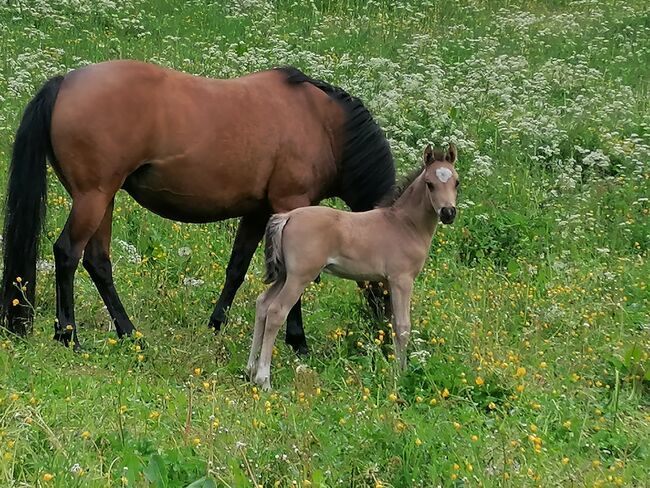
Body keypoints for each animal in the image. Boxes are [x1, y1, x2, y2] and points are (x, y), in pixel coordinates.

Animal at [1, 61, 394, 350]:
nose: (388, 337)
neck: (322, 124)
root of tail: (65, 82)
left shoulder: (258, 212)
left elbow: (236, 268)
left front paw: (216, 325)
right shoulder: (291, 204)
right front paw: (298, 342)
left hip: (102, 199)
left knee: (97, 262)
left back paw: (129, 334)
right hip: (93, 198)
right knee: (67, 253)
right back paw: (69, 337)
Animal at [246, 144, 458, 388]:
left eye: (457, 182)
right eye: (430, 183)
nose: (448, 213)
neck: (404, 224)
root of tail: (287, 216)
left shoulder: (386, 282)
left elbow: (391, 323)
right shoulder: (402, 280)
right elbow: (403, 327)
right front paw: (401, 374)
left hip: (284, 275)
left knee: (262, 304)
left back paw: (250, 369)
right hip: (299, 277)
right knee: (276, 311)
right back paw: (264, 379)